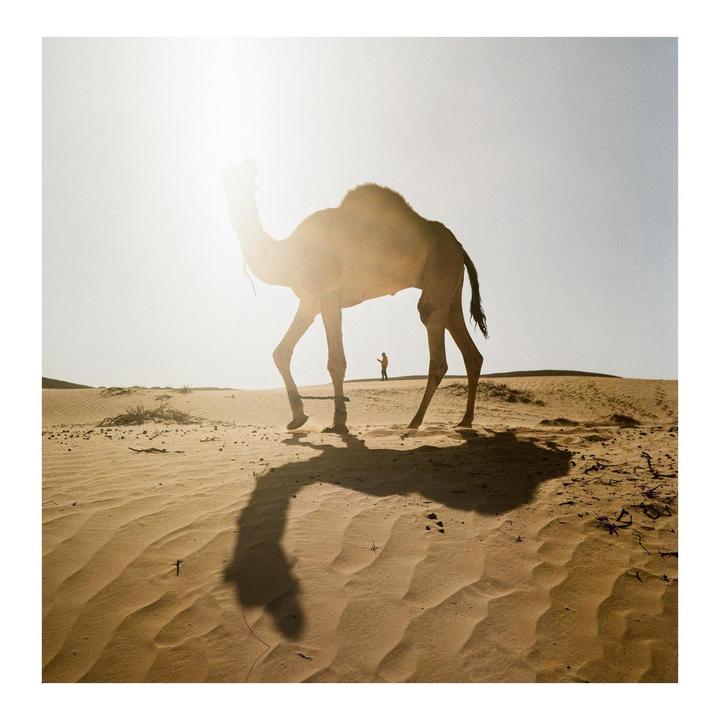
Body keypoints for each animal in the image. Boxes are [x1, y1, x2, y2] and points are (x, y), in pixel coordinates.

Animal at [221, 160, 488, 432]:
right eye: (226, 180)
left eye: (252, 183)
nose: (236, 197)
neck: (291, 252)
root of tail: (459, 246)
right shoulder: (309, 301)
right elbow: (281, 352)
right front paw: (298, 417)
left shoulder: (329, 295)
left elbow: (335, 361)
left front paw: (339, 421)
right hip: (451, 289)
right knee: (470, 351)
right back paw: (465, 419)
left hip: (439, 272)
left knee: (434, 339)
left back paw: (415, 421)